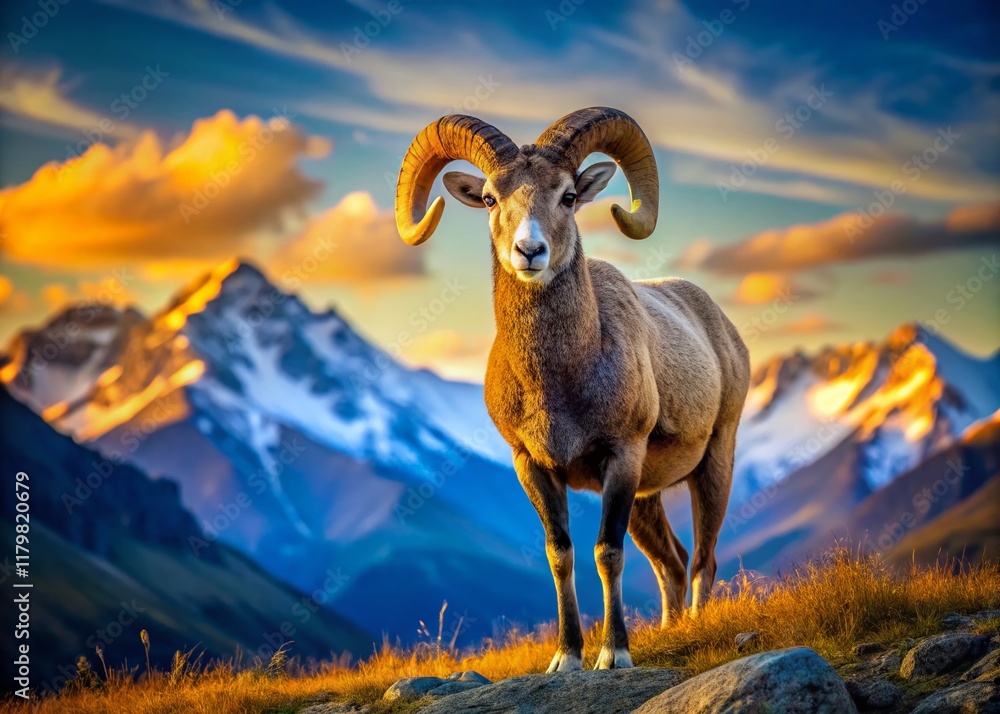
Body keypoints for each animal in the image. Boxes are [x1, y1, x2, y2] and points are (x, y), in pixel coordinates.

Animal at [395, 107, 750, 671]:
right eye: (490, 198)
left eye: (567, 196)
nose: (530, 251)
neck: (558, 385)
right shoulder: (533, 466)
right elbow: (559, 554)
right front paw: (567, 657)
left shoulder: (621, 457)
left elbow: (607, 553)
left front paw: (615, 654)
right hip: (647, 497)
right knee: (670, 563)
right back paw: (669, 632)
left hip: (714, 463)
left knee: (702, 559)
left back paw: (694, 627)